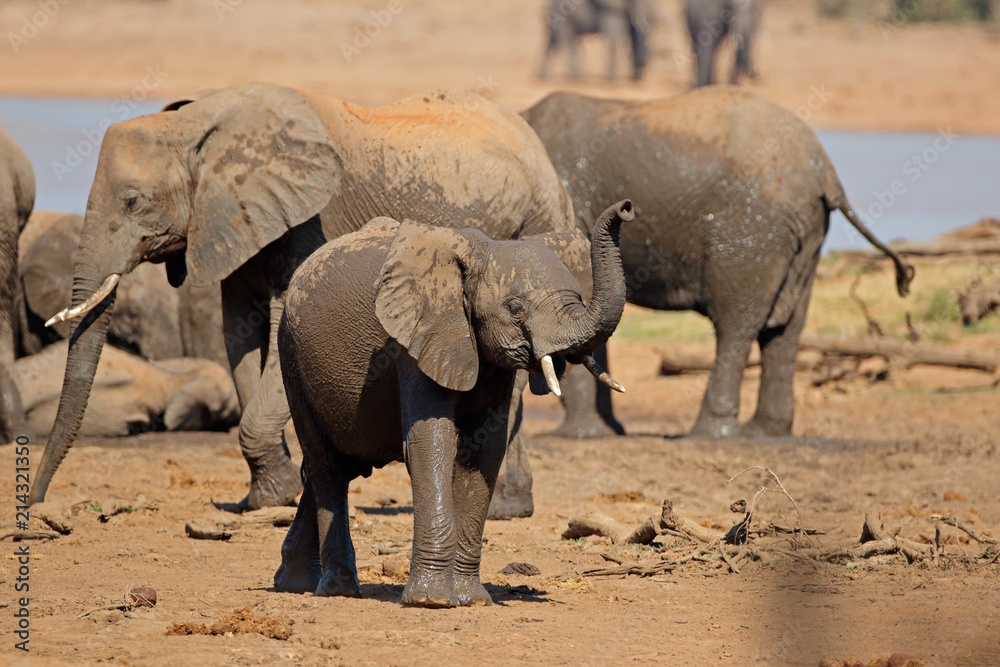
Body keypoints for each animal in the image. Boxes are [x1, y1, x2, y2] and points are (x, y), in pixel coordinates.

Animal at [273, 201, 632, 607]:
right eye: (516, 308)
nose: (625, 208)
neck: (481, 253)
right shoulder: (417, 339)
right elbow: (432, 443)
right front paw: (431, 601)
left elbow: (485, 448)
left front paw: (471, 599)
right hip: (291, 357)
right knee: (328, 466)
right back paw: (339, 589)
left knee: (338, 466)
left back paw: (294, 583)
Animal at [522, 87, 914, 439]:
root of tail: (825, 171)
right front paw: (604, 432)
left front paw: (576, 436)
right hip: (803, 234)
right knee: (785, 328)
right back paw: (764, 433)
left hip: (751, 231)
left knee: (736, 322)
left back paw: (709, 434)